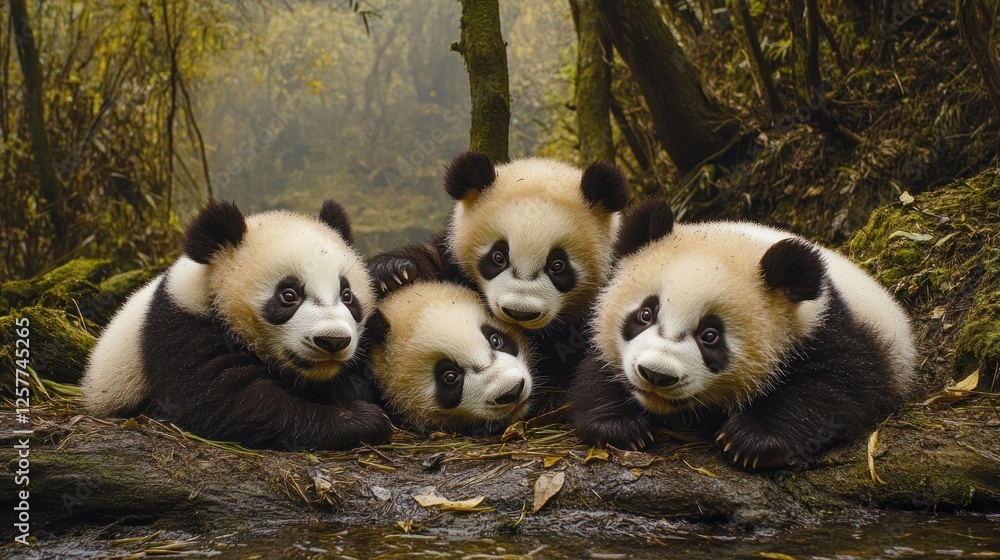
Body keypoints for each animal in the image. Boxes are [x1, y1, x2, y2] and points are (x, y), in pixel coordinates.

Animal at [81, 199, 391, 450]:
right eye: (288, 295)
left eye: (348, 295)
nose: (333, 341)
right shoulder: (181, 326)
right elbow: (229, 400)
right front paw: (360, 419)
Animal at [570, 199, 917, 469]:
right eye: (645, 314)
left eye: (710, 336)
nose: (656, 374)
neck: (746, 240)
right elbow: (598, 365)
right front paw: (619, 426)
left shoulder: (831, 330)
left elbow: (832, 386)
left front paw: (751, 440)